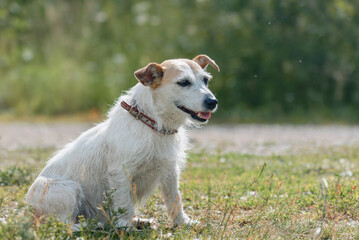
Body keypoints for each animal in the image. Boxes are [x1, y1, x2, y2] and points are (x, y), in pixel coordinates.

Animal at [26, 54, 219, 229]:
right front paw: (124, 225)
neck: (152, 125)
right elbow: (123, 202)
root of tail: (29, 213)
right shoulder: (120, 173)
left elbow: (174, 199)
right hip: (68, 189)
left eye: (205, 80)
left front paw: (183, 222)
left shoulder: (170, 171)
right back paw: (93, 226)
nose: (213, 102)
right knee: (63, 224)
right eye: (184, 82)